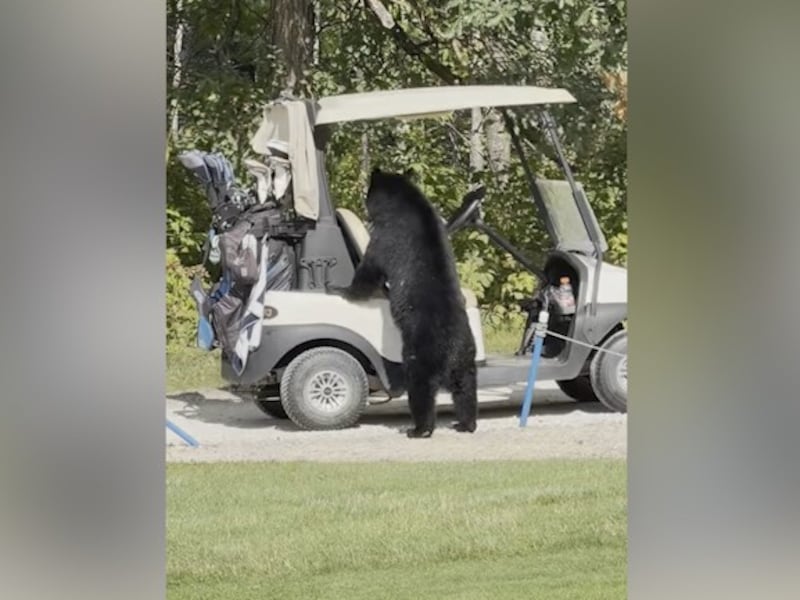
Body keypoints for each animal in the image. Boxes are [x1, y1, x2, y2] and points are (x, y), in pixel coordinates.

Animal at [329, 168, 478, 438]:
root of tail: (452, 350)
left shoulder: (386, 236)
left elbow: (369, 270)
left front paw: (340, 289)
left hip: (420, 354)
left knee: (421, 389)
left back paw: (419, 429)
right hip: (465, 362)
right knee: (465, 391)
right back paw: (465, 423)